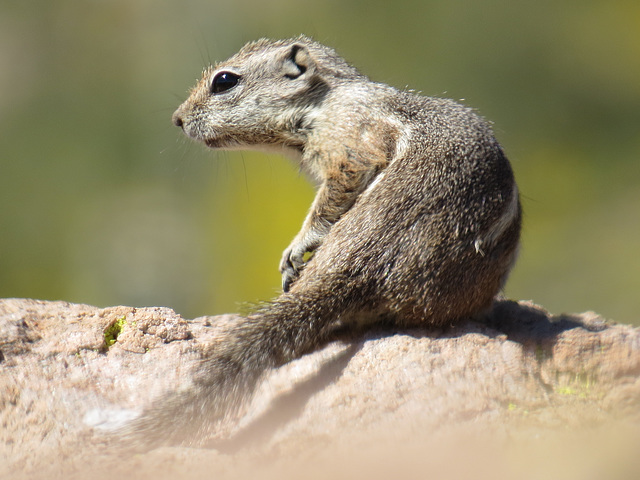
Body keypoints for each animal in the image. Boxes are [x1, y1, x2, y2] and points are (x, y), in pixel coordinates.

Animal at [129, 34, 520, 446]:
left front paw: (297, 246)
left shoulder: (349, 143)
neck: (325, 99)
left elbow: (335, 192)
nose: (178, 119)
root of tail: (360, 264)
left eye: (223, 81)